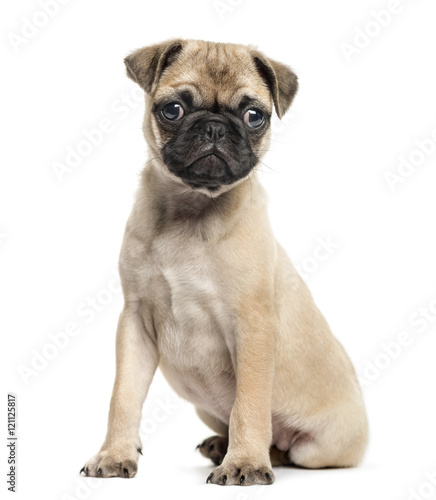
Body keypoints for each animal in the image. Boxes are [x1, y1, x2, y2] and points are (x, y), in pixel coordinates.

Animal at [79, 39, 368, 484]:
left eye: (254, 116)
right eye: (173, 110)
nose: (215, 127)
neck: (193, 206)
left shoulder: (251, 328)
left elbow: (249, 405)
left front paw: (244, 462)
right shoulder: (135, 324)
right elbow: (123, 398)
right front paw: (114, 453)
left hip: (319, 448)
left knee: (285, 448)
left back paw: (253, 454)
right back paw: (220, 445)